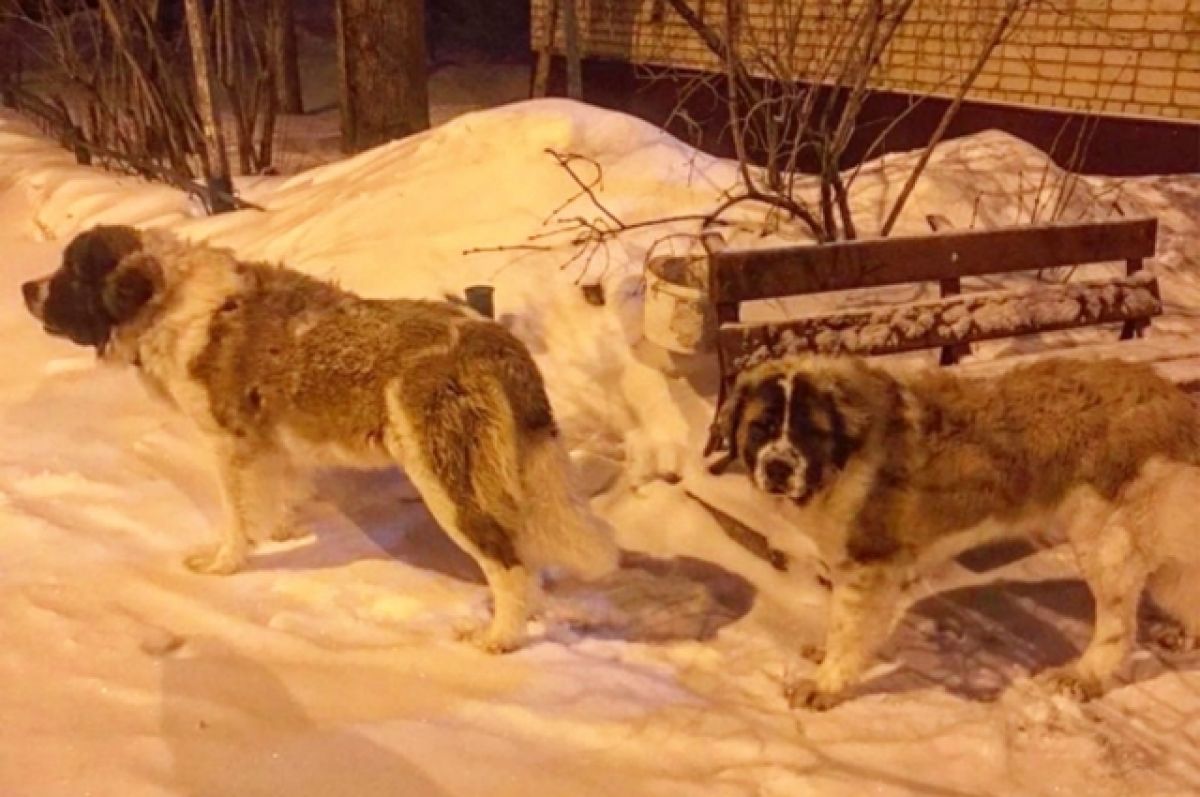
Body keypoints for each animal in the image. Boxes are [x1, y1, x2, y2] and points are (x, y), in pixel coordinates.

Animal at [21, 224, 619, 652]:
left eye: (71, 270)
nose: (26, 287)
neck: (165, 303)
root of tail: (494, 341)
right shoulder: (269, 439)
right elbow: (278, 493)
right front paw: (283, 532)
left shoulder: (229, 441)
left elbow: (235, 515)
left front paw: (225, 565)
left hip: (446, 482)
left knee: (507, 563)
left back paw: (498, 639)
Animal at [710, 355, 1200, 710]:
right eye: (761, 427)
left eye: (810, 432)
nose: (778, 467)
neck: (845, 458)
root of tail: (1173, 401)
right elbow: (844, 625)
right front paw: (827, 655)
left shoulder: (870, 566)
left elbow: (848, 628)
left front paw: (826, 684)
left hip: (1106, 542)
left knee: (1118, 627)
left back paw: (1082, 676)